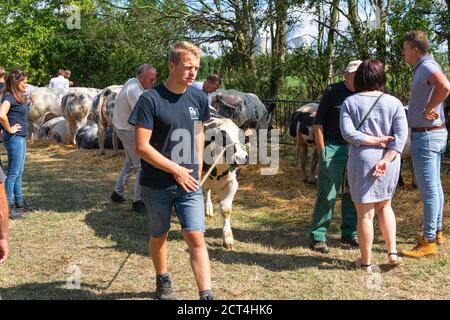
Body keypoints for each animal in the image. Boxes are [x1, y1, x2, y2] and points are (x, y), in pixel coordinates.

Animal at [201, 114, 248, 251]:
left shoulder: (233, 184)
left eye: (243, 137)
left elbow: (226, 210)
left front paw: (228, 238)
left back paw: (209, 210)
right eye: (222, 139)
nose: (241, 157)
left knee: (207, 191)